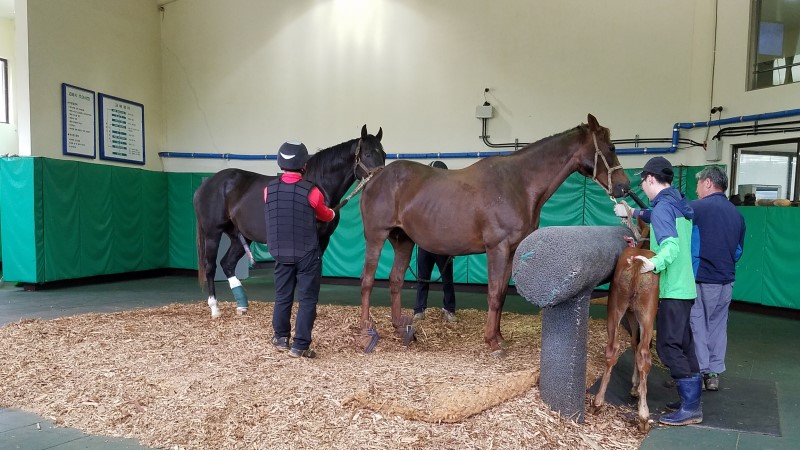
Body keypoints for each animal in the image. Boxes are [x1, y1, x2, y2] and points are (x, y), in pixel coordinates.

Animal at [194, 125, 386, 317]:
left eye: (384, 153)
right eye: (367, 154)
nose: (381, 179)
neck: (318, 185)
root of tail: (206, 185)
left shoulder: (324, 239)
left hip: (240, 236)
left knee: (227, 263)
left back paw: (242, 305)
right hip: (212, 233)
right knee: (210, 266)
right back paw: (215, 308)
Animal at [357, 114, 631, 356]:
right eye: (610, 147)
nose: (624, 186)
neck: (518, 183)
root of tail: (373, 178)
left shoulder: (511, 250)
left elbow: (501, 294)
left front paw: (498, 337)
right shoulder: (496, 248)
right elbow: (493, 293)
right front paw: (492, 342)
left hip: (403, 241)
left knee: (395, 281)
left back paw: (399, 327)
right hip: (376, 237)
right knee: (367, 281)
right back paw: (365, 331)